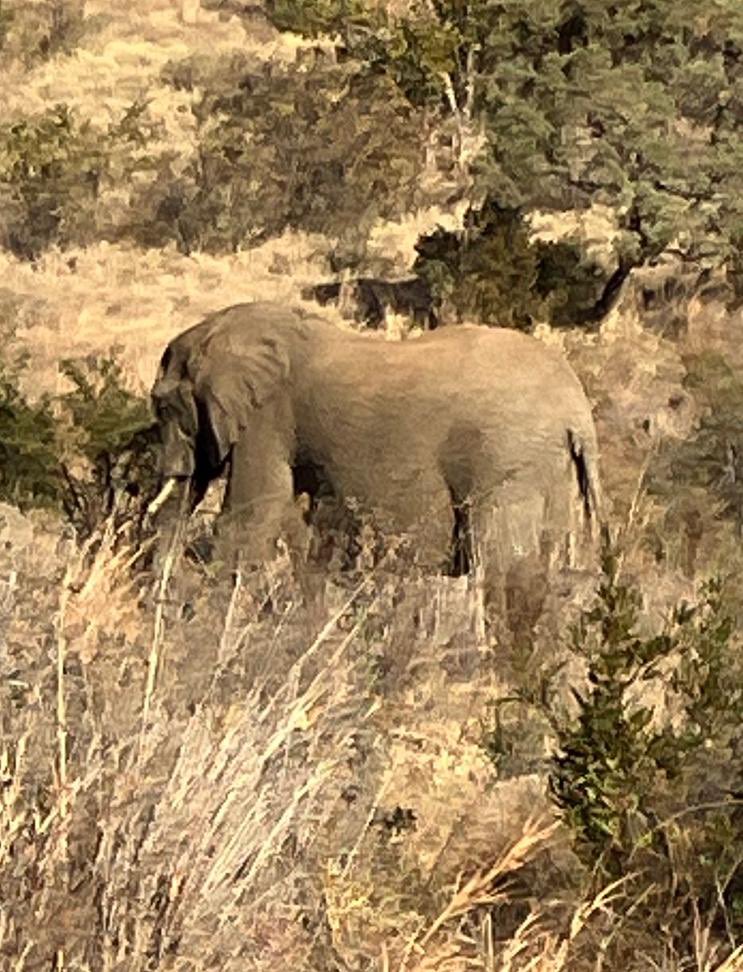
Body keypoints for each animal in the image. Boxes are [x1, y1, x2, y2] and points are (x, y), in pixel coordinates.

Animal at [150, 301, 602, 624]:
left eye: (165, 407)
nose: (162, 608)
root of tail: (577, 410)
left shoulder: (266, 417)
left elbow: (247, 520)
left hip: (509, 456)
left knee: (502, 570)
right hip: (545, 465)